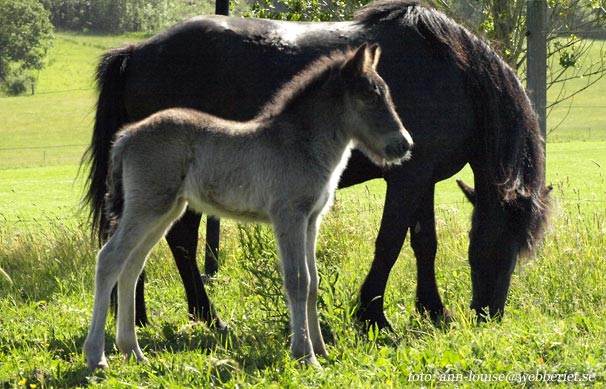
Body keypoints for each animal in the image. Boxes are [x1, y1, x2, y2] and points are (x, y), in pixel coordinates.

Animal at [83, 0, 552, 330]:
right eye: (504, 240)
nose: (490, 313)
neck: (454, 74)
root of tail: (137, 51)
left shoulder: (423, 178)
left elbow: (424, 243)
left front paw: (433, 311)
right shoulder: (408, 179)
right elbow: (390, 243)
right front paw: (373, 316)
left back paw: (141, 317)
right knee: (176, 241)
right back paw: (204, 317)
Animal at [84, 42, 414, 366]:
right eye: (369, 97)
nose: (404, 145)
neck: (301, 144)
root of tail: (126, 137)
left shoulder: (311, 221)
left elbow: (313, 283)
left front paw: (321, 349)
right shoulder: (289, 217)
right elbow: (298, 280)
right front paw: (305, 355)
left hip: (166, 210)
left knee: (132, 265)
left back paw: (133, 351)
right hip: (147, 207)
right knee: (110, 259)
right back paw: (97, 355)